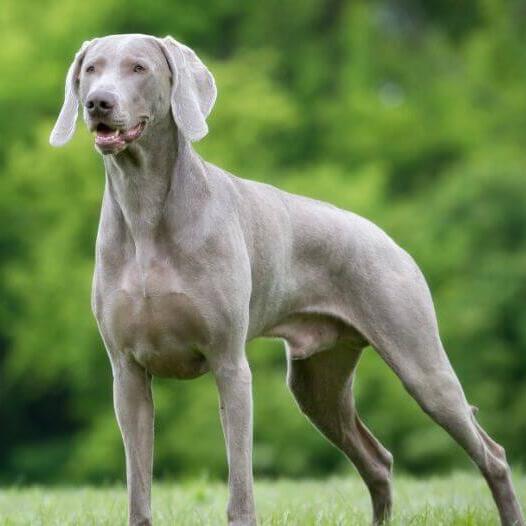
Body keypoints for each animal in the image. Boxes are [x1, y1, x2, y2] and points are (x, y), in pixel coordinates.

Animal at [48, 34, 524, 526]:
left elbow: (240, 481)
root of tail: (387, 238)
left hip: (419, 362)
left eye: (139, 67)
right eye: (90, 69)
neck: (143, 211)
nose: (97, 102)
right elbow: (138, 485)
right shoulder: (127, 373)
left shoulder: (229, 364)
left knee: (490, 452)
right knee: (378, 460)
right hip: (317, 381)